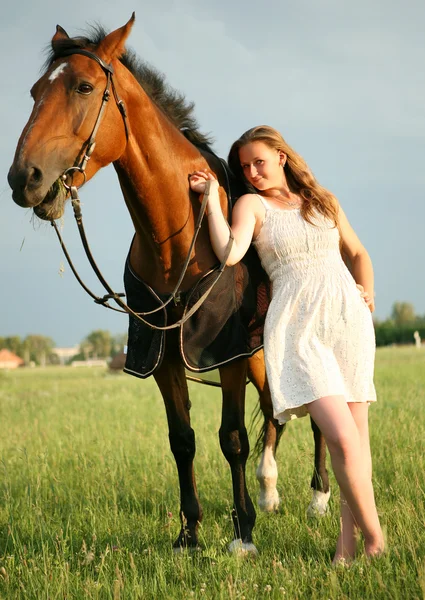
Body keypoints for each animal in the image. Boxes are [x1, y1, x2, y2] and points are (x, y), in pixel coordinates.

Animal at [8, 14, 330, 552]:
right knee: (277, 411)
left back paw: (318, 497)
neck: (177, 235)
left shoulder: (226, 354)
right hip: (262, 352)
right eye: (35, 92)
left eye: (83, 86)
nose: (24, 179)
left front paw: (242, 533)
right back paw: (270, 491)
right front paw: (190, 534)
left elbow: (231, 438)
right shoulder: (162, 355)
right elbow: (183, 439)